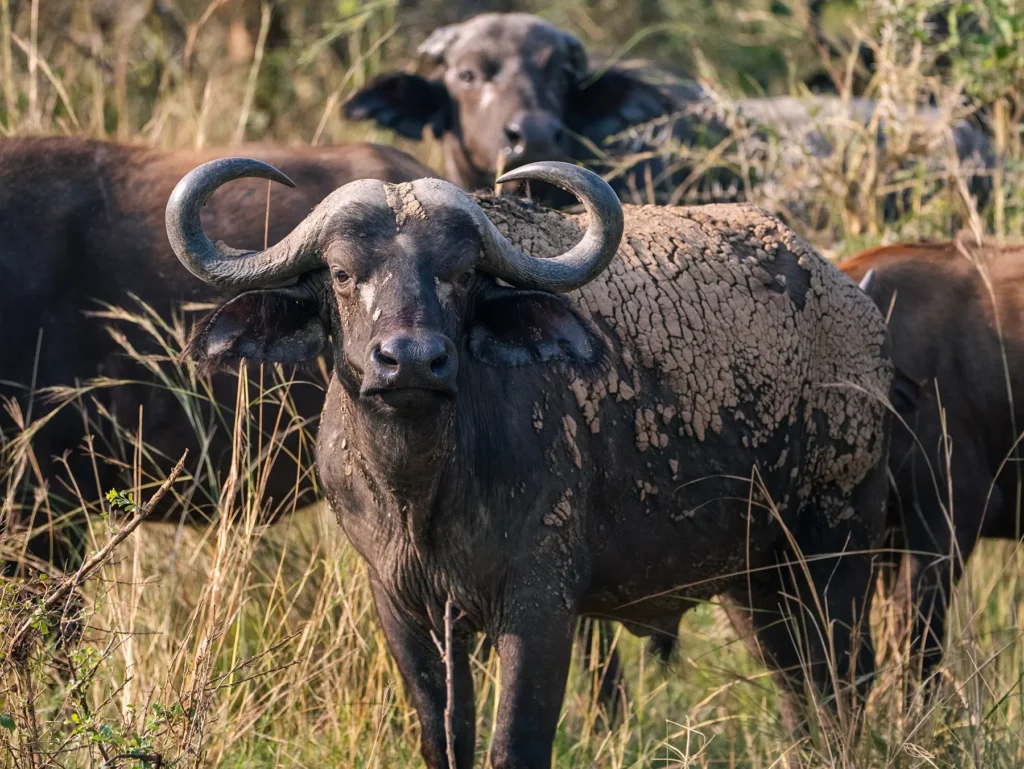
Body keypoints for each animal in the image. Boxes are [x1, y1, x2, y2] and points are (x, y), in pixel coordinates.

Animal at [170, 157, 895, 765]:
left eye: (462, 273)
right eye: (344, 274)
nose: (411, 360)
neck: (424, 493)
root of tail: (857, 312)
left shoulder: (541, 605)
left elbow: (514, 744)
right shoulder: (404, 608)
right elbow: (443, 740)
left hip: (836, 553)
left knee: (842, 683)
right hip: (753, 579)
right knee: (795, 686)